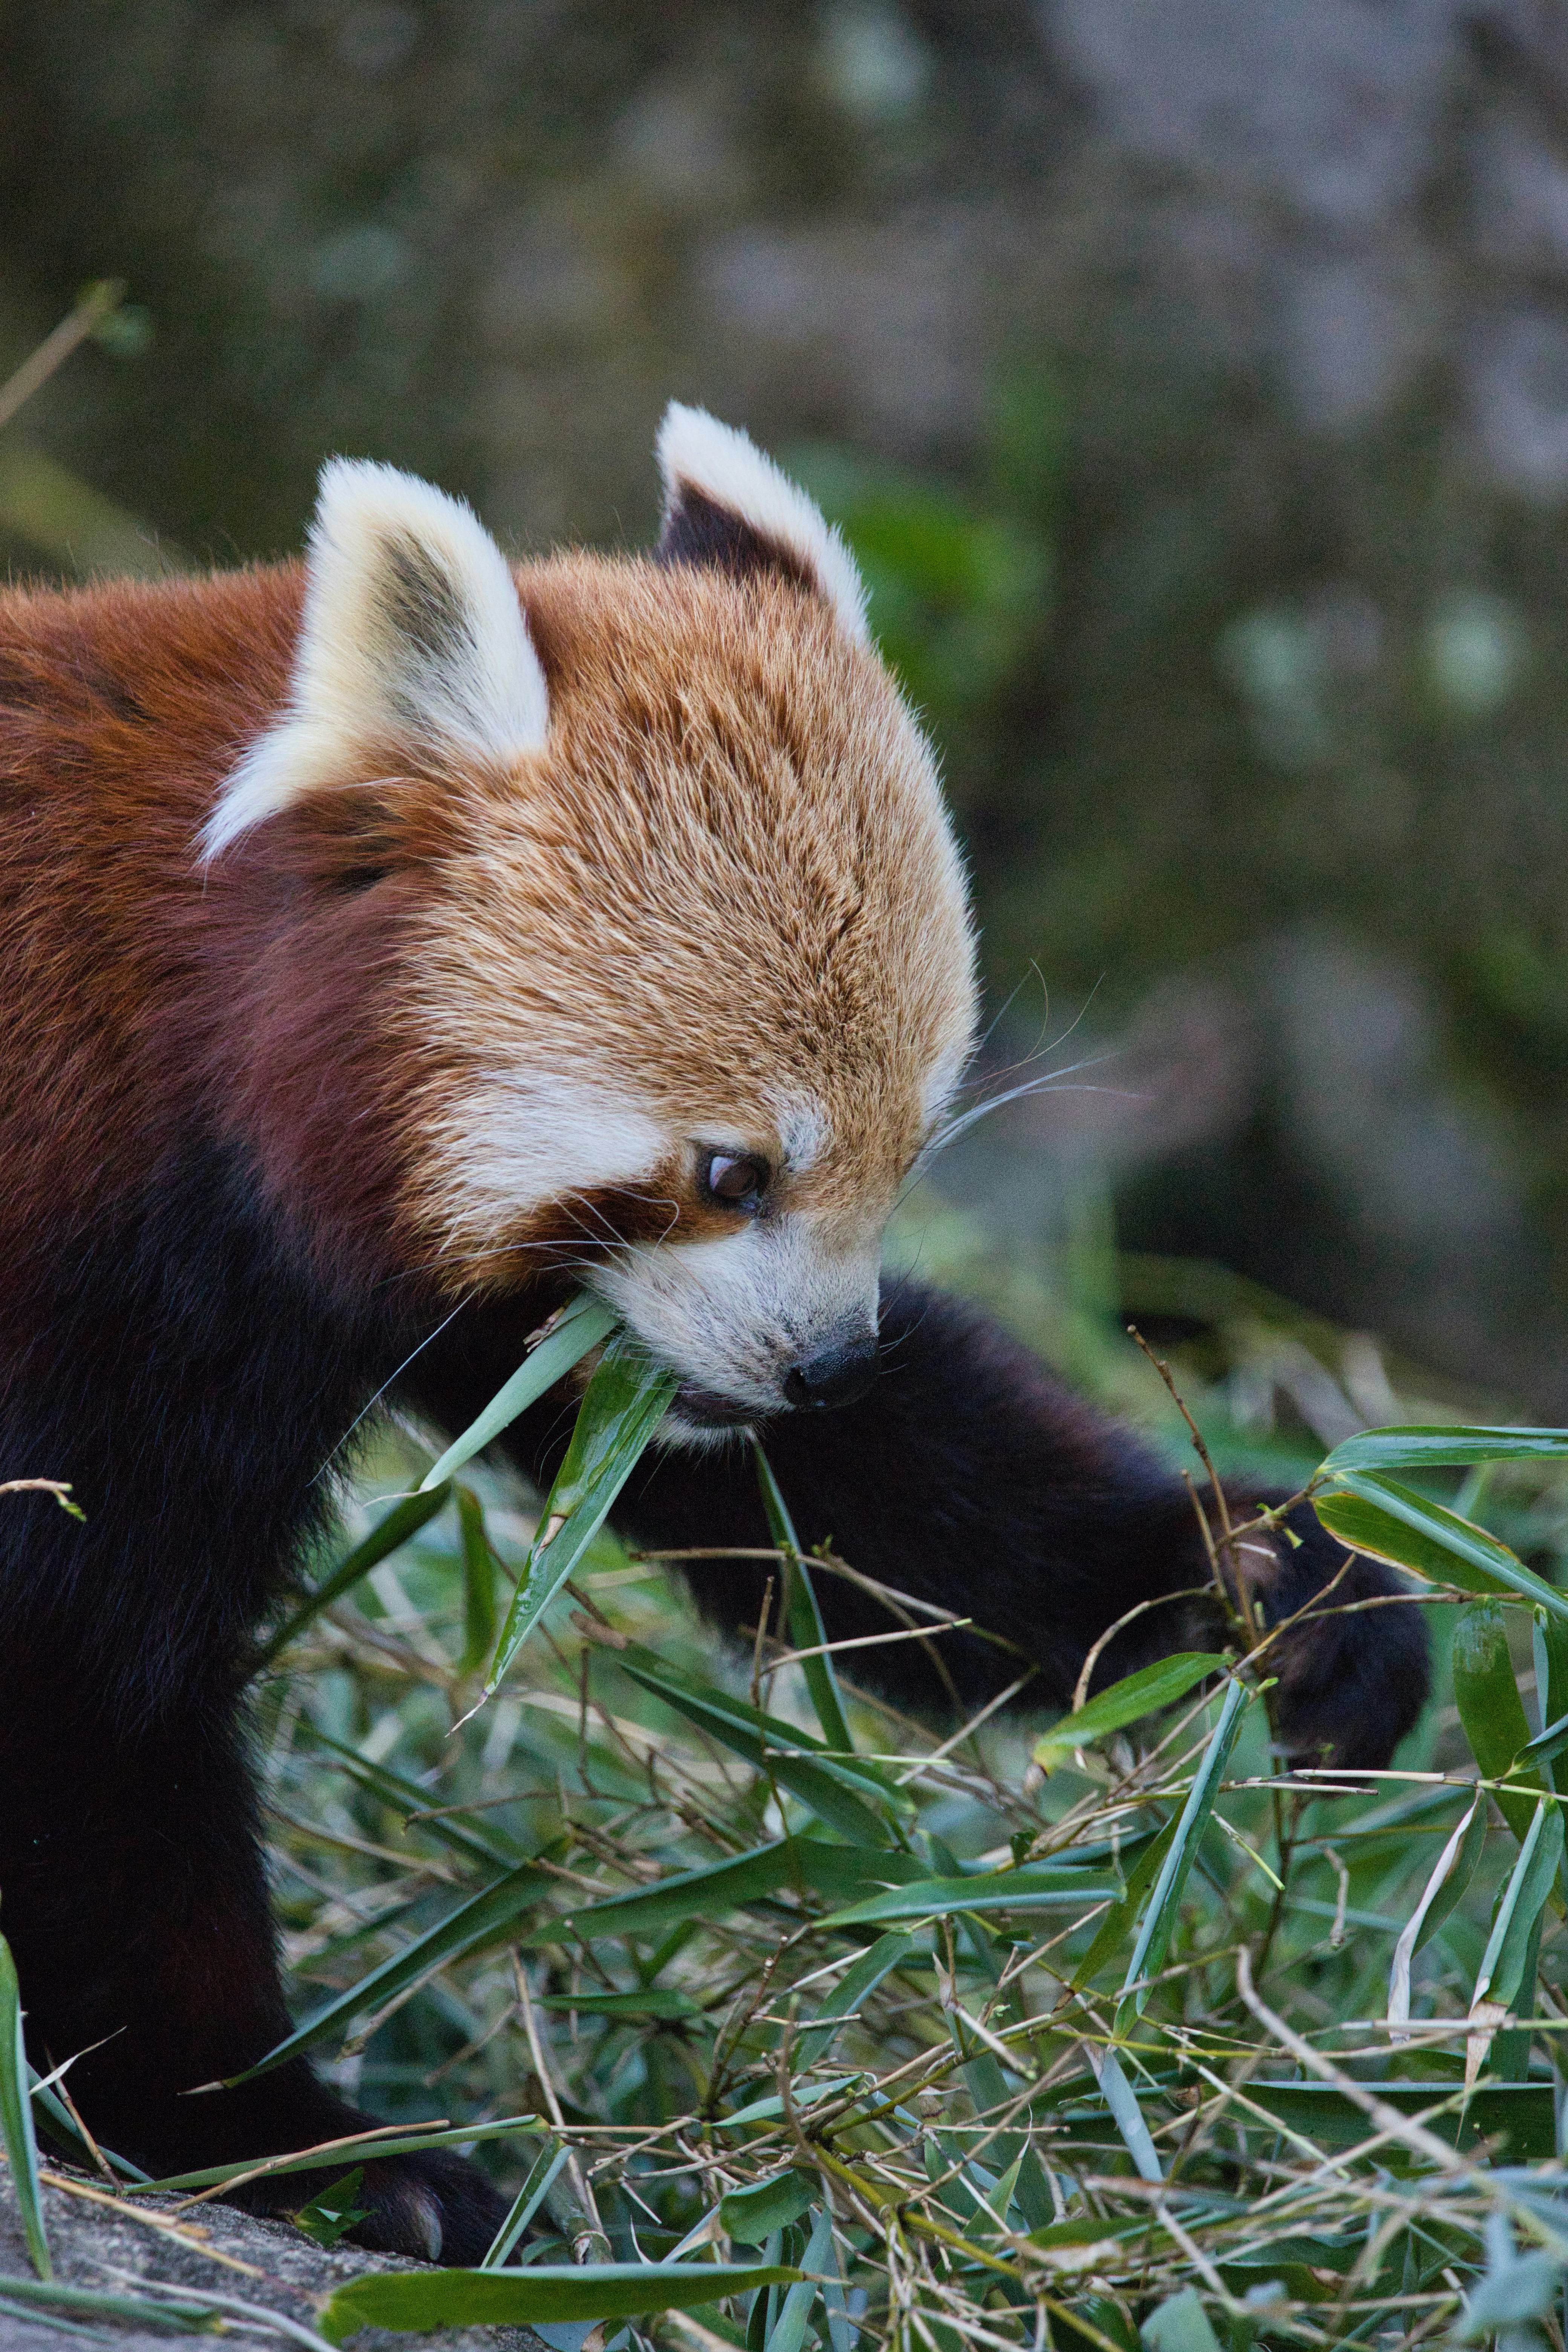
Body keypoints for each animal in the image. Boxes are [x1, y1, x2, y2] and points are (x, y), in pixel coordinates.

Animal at [0, 405, 1427, 2259]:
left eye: (908, 1152)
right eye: (730, 1171)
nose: (821, 1360)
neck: (186, 1039)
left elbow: (857, 1503)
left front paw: (1259, 1582)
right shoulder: (96, 1292)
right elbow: (86, 1708)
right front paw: (270, 2134)